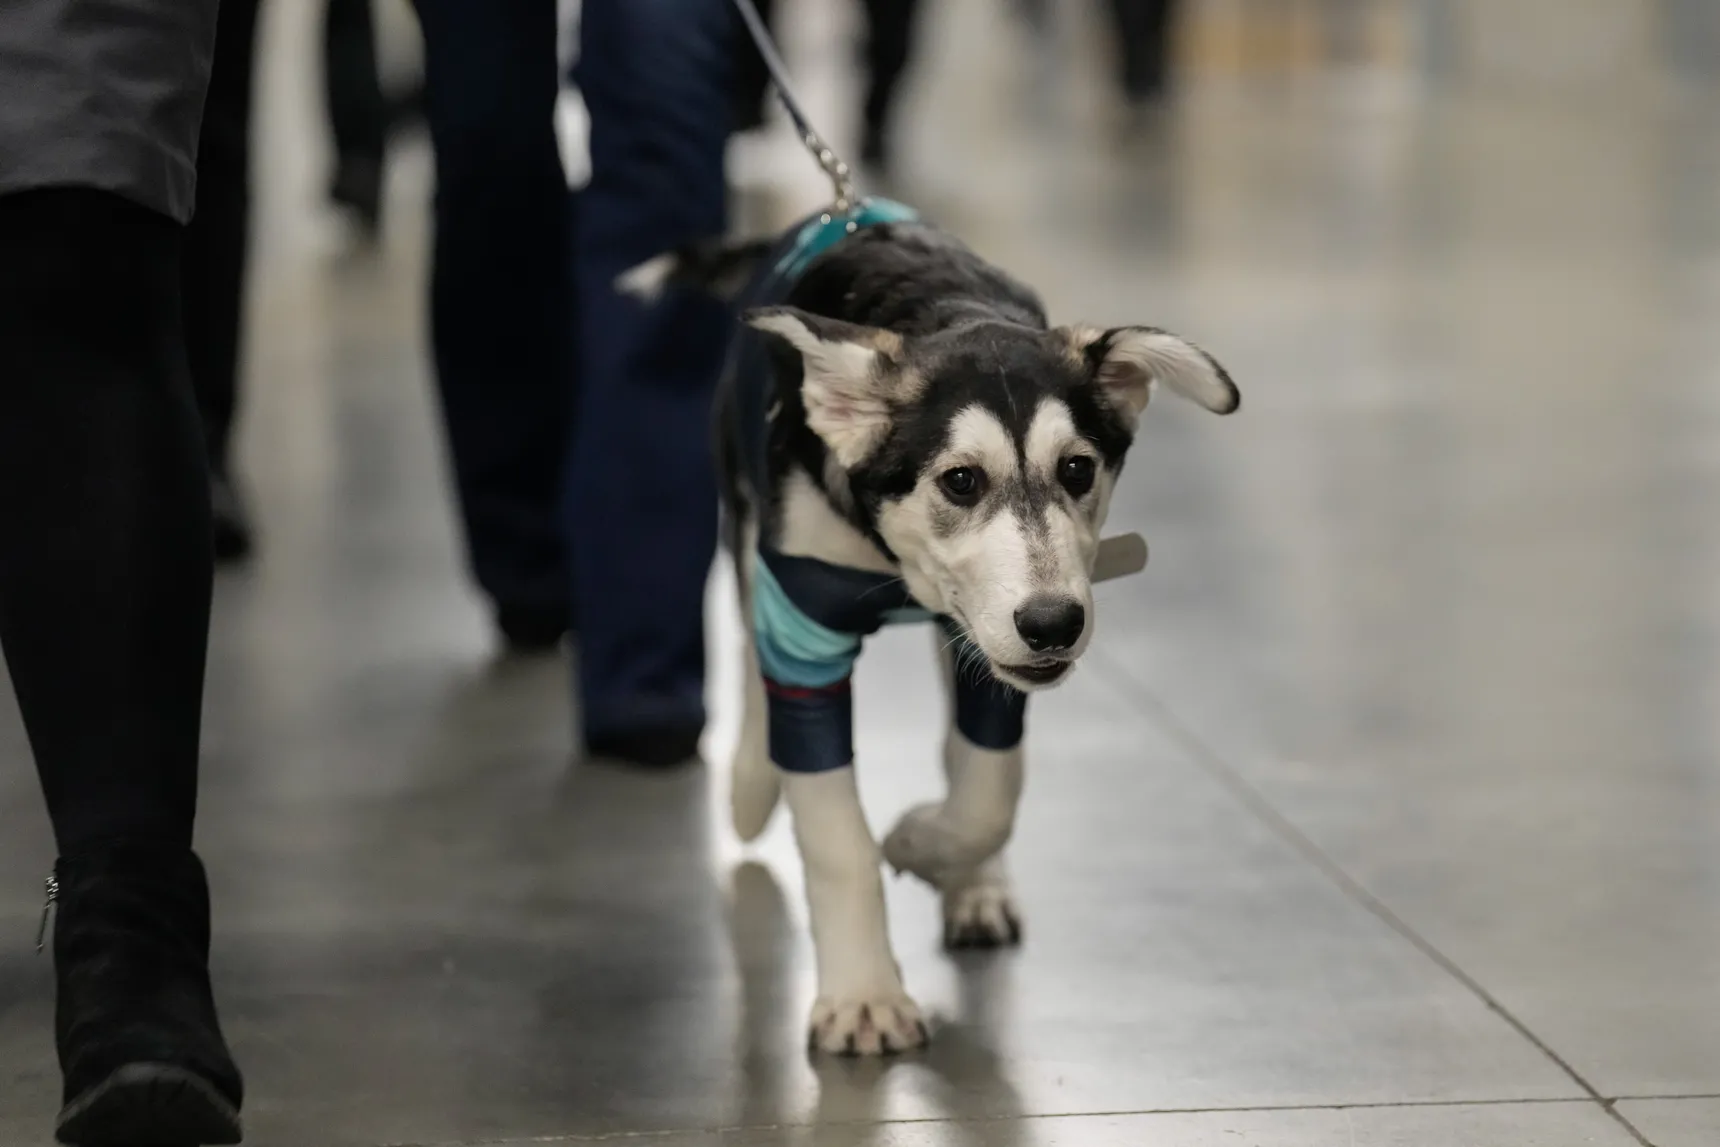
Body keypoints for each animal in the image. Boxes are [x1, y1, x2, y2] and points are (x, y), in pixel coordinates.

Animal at [626, 197, 1245, 1059]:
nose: (1055, 624)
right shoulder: (805, 624)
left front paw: (920, 842)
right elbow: (837, 836)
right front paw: (864, 996)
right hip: (743, 508)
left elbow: (987, 787)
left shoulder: (989, 641)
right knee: (748, 649)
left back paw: (973, 886)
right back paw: (749, 780)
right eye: (960, 480)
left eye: (1078, 469)